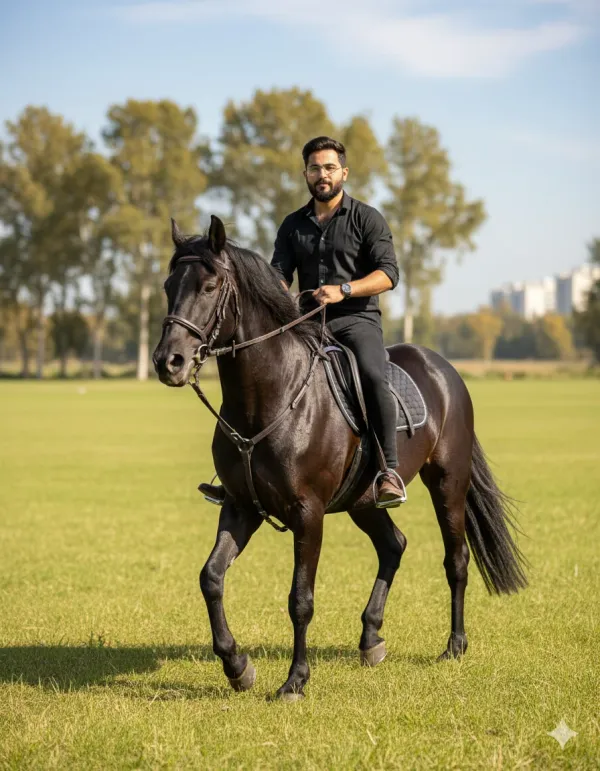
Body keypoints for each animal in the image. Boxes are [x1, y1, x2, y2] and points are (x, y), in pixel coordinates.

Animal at [152, 215, 528, 701]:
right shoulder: (240, 507)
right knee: (394, 545)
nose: (168, 362)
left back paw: (454, 646)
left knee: (456, 560)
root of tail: (444, 370)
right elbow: (211, 578)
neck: (269, 397)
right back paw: (370, 639)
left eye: (211, 285)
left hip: (448, 481)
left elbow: (300, 599)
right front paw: (237, 666)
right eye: (168, 285)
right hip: (363, 501)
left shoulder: (308, 513)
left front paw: (295, 680)